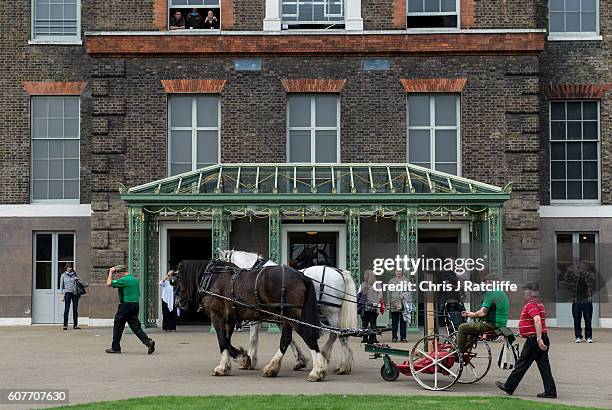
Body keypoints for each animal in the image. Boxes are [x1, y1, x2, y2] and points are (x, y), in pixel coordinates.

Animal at [172, 260, 328, 382]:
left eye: (178, 278)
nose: (178, 301)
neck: (213, 278)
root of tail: (300, 275)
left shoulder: (217, 316)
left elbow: (222, 341)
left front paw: (222, 367)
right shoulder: (230, 319)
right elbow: (227, 341)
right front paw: (242, 358)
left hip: (294, 317)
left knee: (308, 337)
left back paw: (317, 371)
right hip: (286, 318)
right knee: (286, 339)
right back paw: (272, 368)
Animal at [219, 250, 358, 374]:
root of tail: (340, 272)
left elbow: (254, 338)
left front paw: (250, 361)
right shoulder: (282, 317)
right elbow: (289, 338)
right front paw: (300, 360)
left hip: (331, 312)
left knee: (339, 334)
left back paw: (342, 365)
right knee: (338, 334)